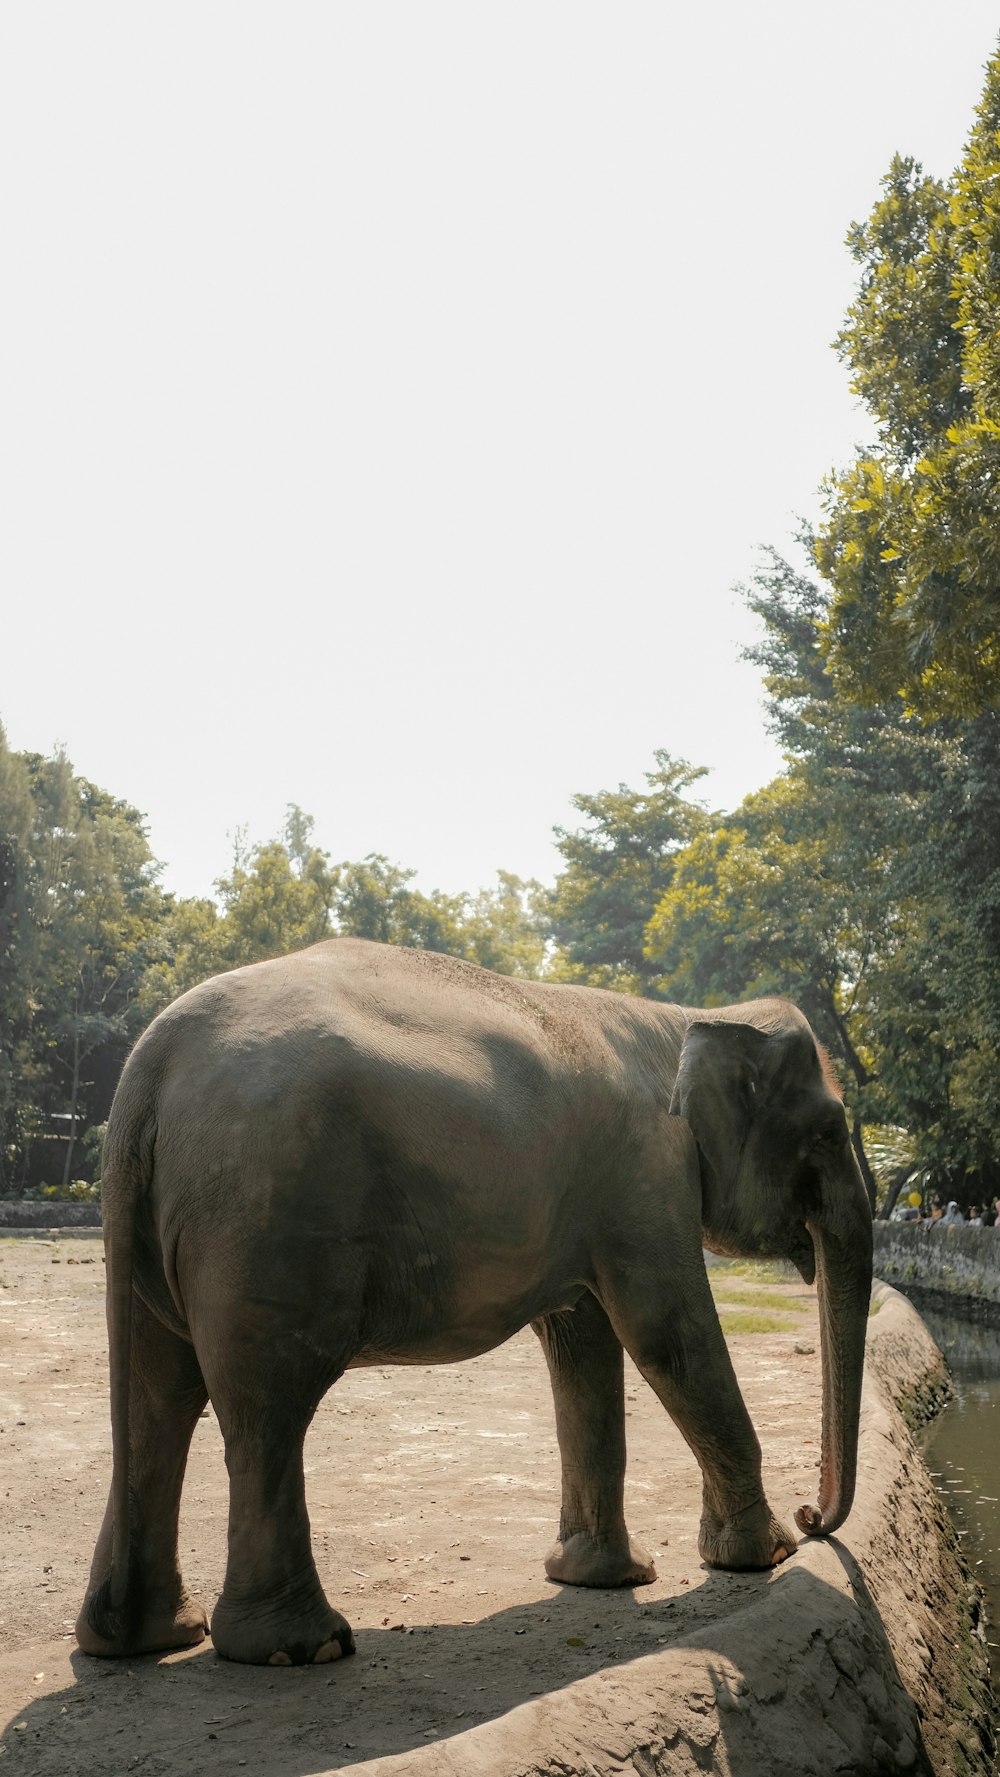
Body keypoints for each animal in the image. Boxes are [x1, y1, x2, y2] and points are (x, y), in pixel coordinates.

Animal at [76, 945, 877, 1663]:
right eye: (830, 1131)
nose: (815, 1515)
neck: (681, 1019)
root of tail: (146, 1068)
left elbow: (584, 1342)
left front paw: (605, 1579)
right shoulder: (647, 1168)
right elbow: (665, 1332)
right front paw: (764, 1557)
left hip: (173, 1226)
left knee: (159, 1398)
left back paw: (148, 1638)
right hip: (266, 1217)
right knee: (266, 1407)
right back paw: (303, 1648)